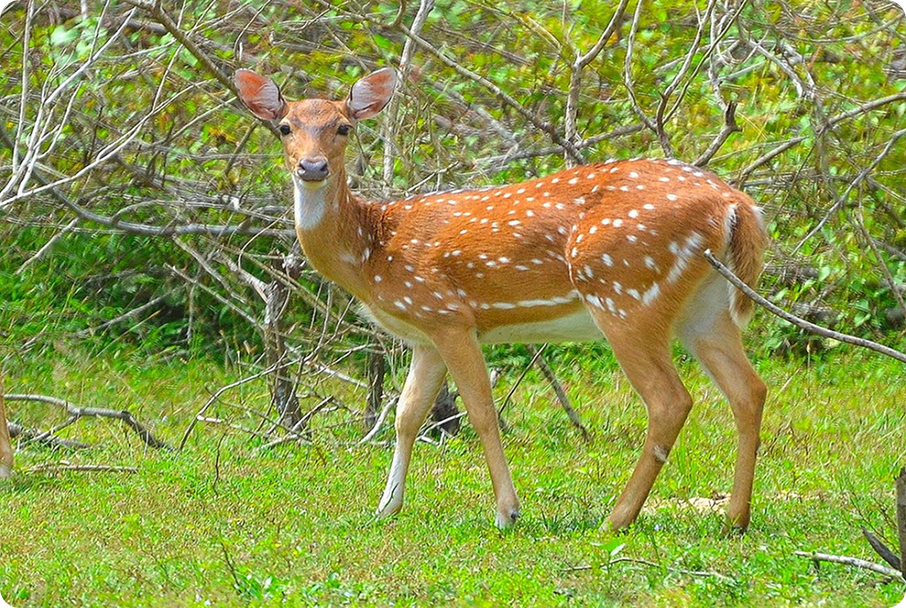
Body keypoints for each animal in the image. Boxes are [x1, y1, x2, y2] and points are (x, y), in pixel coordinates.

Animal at [234, 66, 768, 533]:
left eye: (343, 127)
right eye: (284, 127)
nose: (312, 166)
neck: (372, 252)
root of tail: (736, 205)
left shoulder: (449, 315)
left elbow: (480, 412)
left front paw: (508, 512)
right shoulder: (424, 334)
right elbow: (407, 416)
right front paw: (386, 507)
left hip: (624, 292)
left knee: (669, 399)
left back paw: (617, 518)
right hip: (705, 307)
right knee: (749, 389)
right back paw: (734, 518)